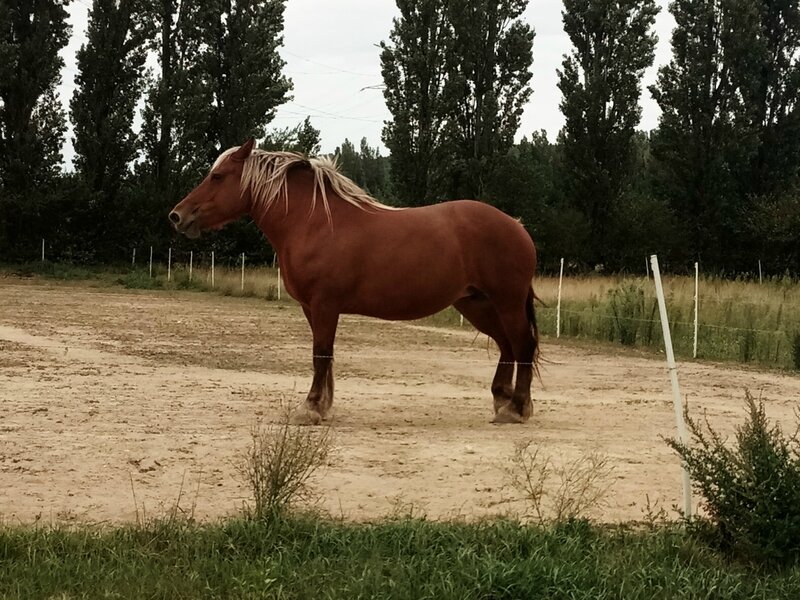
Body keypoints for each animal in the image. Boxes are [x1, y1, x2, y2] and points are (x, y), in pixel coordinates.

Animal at [171, 138, 540, 424]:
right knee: (507, 346)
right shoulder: (311, 308)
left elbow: (321, 354)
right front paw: (323, 404)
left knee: (522, 344)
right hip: (476, 304)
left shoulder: (324, 305)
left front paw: (311, 408)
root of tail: (516, 225)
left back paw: (516, 408)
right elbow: (325, 356)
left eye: (217, 176)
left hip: (505, 302)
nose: (177, 215)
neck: (313, 222)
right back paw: (502, 400)